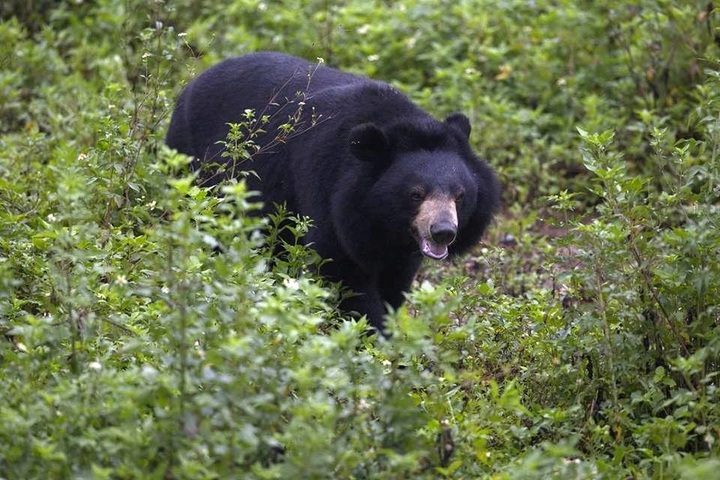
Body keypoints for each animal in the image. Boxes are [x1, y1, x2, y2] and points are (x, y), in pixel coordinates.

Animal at [166, 52, 500, 330]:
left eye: (460, 196)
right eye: (416, 193)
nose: (443, 232)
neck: (383, 221)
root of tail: (193, 81)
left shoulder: (400, 245)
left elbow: (395, 281)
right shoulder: (326, 186)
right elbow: (342, 269)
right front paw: (372, 336)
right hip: (191, 162)